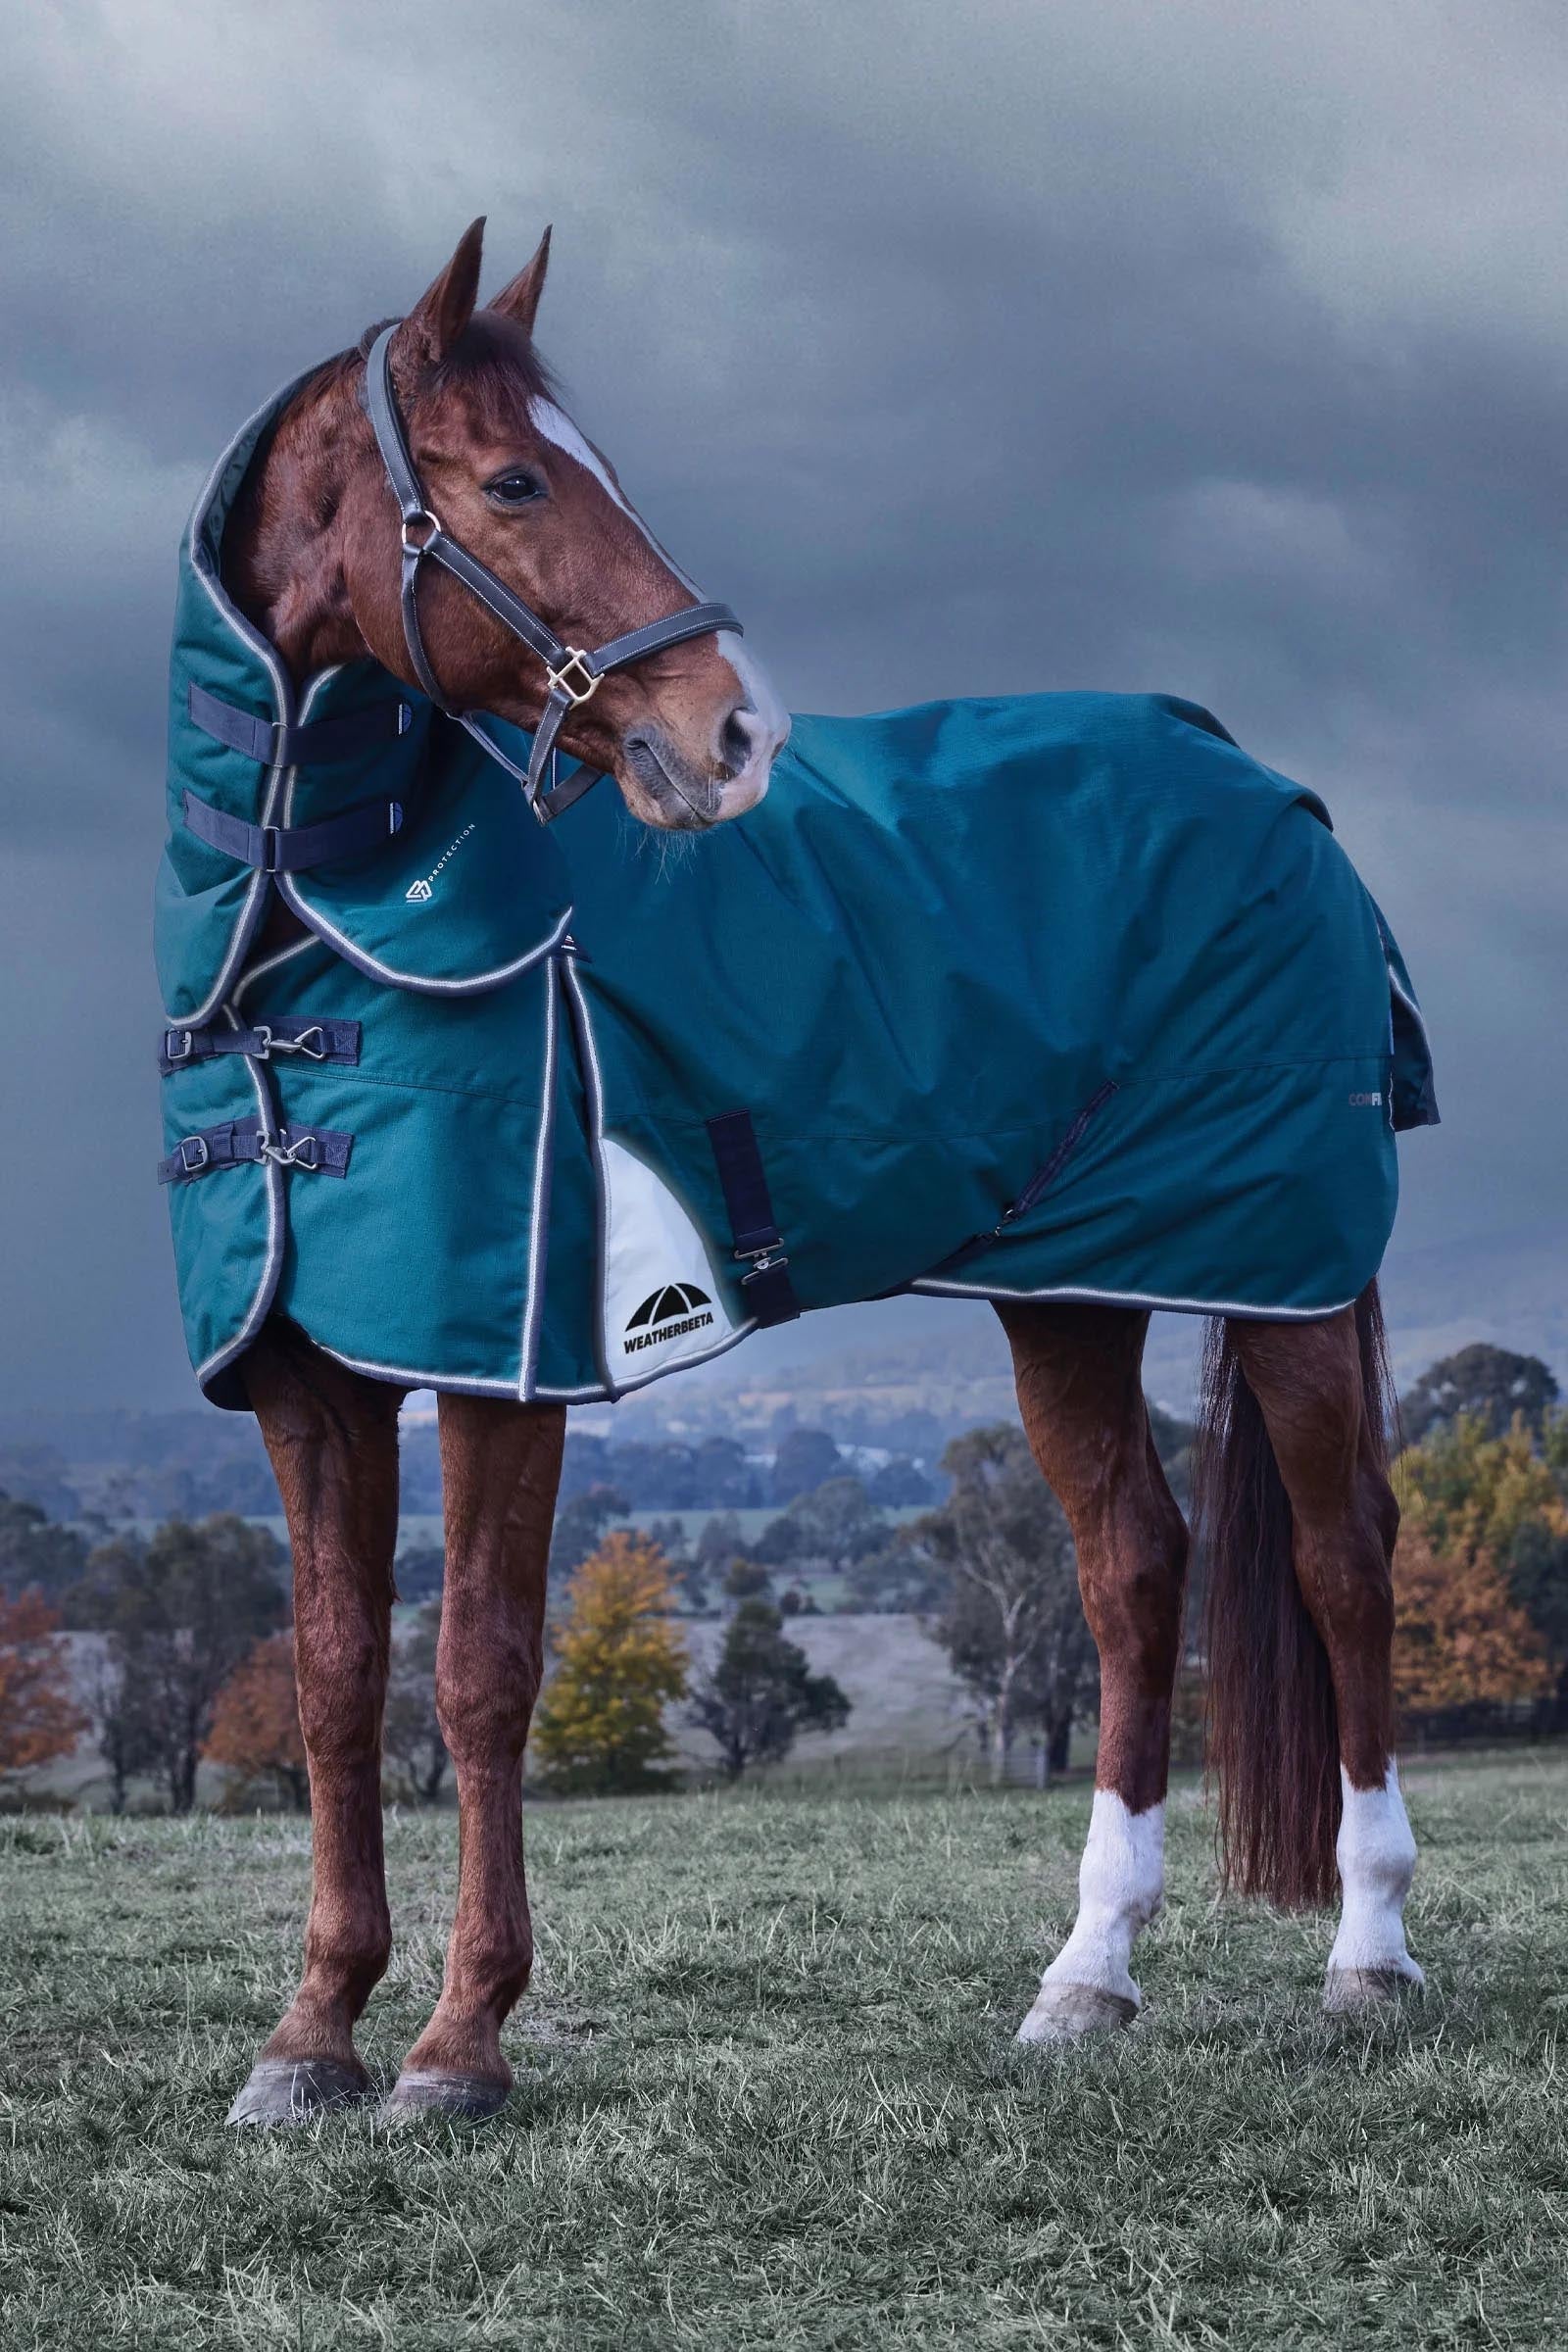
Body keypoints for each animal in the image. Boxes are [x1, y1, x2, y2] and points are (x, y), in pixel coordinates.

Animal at [159, 221, 1424, 2127]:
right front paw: (310, 2036)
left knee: (1345, 1557)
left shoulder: (507, 1365)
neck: (318, 947)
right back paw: (1087, 1978)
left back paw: (1370, 1957)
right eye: (516, 479)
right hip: (1071, 1289)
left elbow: (476, 1674)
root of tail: (1273, 788)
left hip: (1278, 1263)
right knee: (1136, 1569)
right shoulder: (315, 1380)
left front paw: (458, 2046)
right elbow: (326, 1683)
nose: (734, 736)